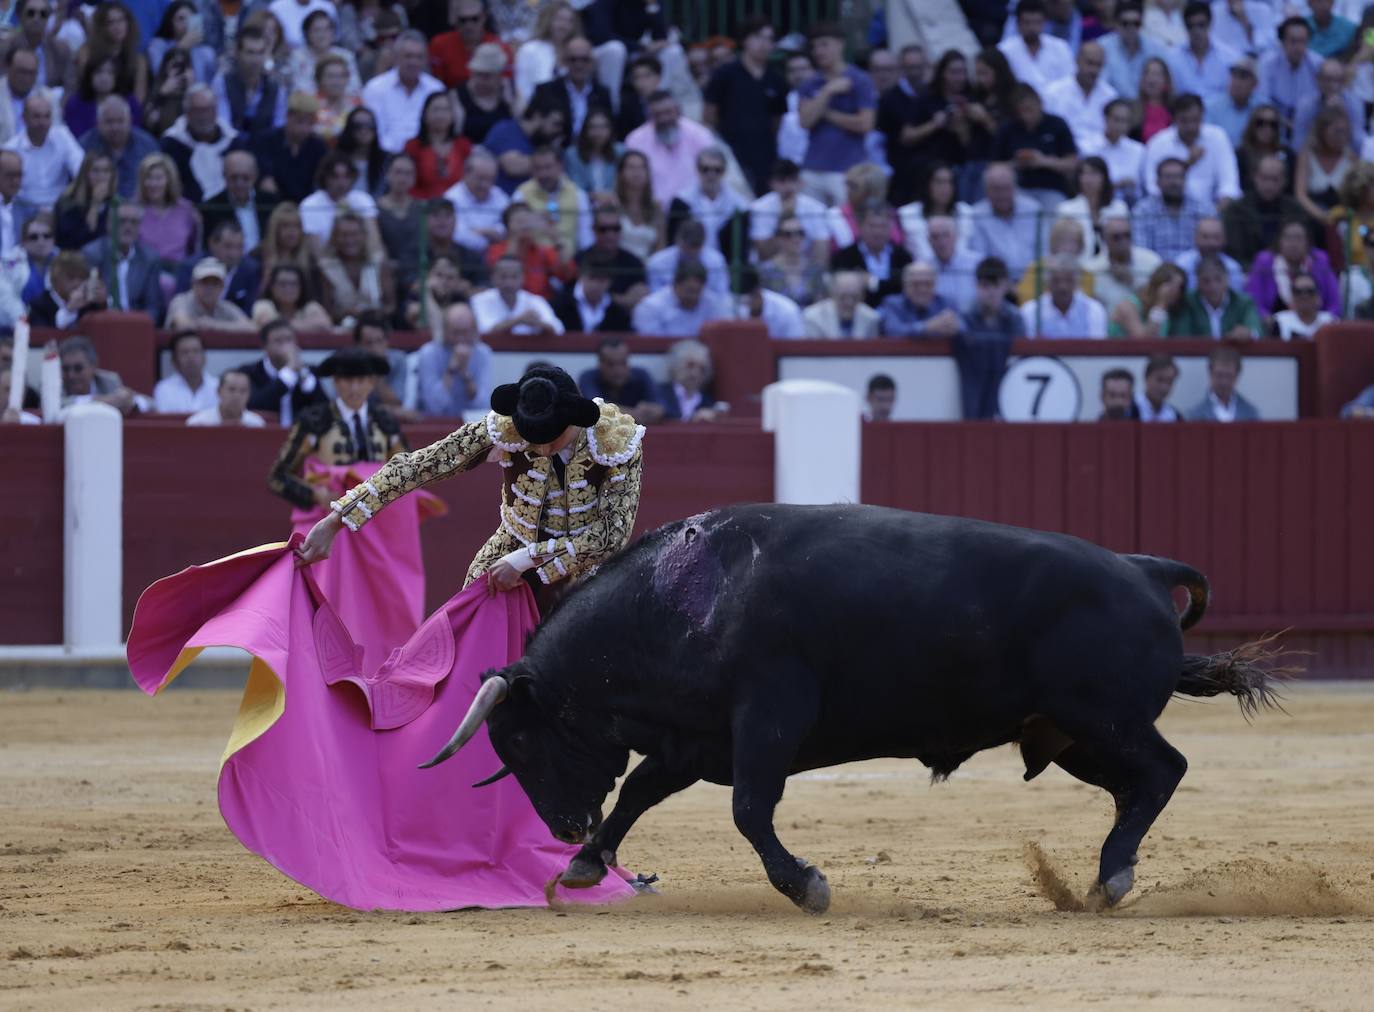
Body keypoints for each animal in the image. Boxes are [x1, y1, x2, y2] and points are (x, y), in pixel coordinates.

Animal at [417, 502, 1275, 906]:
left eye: (522, 742)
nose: (563, 826)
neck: (684, 599)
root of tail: (1141, 567)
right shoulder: (693, 741)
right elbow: (638, 793)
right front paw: (586, 865)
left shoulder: (767, 719)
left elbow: (749, 811)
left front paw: (807, 886)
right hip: (1068, 735)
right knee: (1142, 784)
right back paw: (1104, 877)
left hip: (1103, 719)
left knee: (1164, 769)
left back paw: (1112, 877)